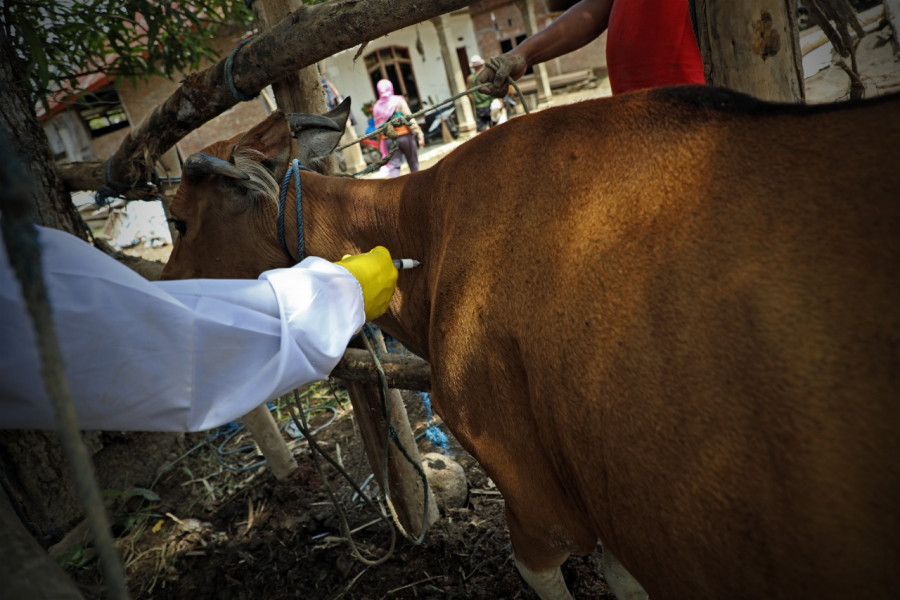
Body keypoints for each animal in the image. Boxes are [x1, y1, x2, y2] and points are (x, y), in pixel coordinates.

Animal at [162, 85, 900, 600]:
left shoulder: (530, 482)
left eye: (179, 219)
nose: (161, 293)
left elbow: (549, 569)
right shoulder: (607, 487)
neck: (430, 227)